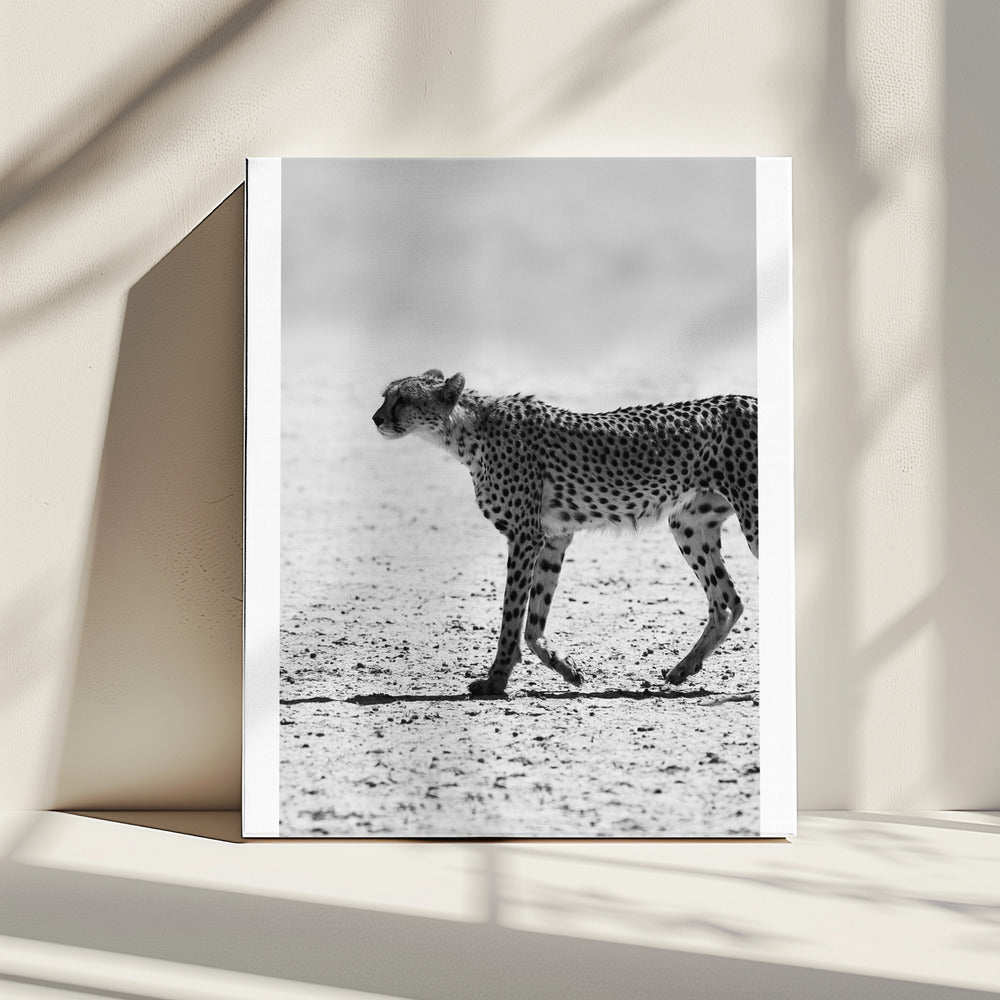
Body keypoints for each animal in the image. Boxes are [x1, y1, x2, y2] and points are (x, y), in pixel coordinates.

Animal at [373, 369, 758, 697]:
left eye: (403, 399)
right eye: (385, 396)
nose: (376, 419)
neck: (467, 430)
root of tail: (748, 398)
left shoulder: (525, 536)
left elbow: (511, 616)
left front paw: (496, 681)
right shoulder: (553, 537)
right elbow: (533, 622)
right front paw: (566, 669)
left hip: (751, 518)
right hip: (688, 524)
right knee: (728, 601)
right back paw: (684, 668)